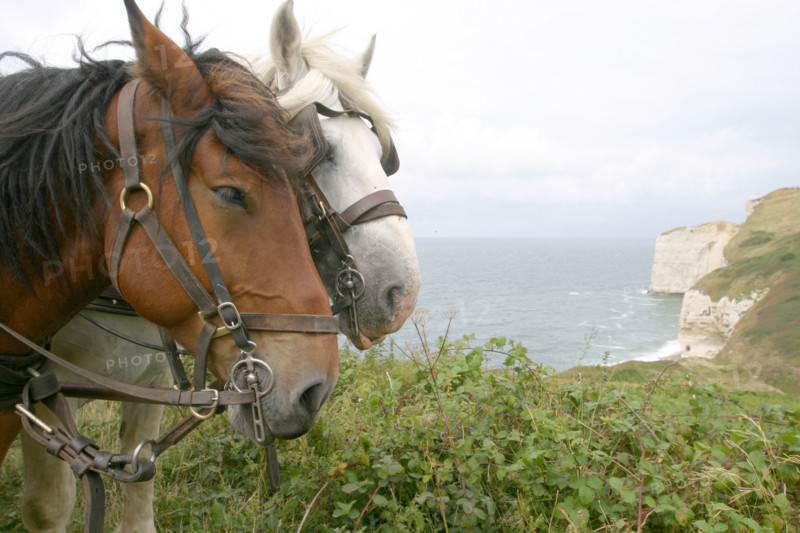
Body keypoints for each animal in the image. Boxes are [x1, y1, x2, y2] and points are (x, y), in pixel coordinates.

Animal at [16, 2, 420, 531]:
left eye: (379, 155)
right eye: (318, 152)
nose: (402, 295)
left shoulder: (145, 389)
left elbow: (139, 495)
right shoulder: (37, 398)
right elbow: (49, 505)